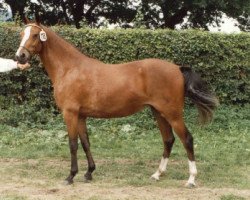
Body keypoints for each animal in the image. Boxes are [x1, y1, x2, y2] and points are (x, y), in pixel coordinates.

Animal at [15, 18, 219, 188]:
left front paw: (70, 176)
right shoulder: (81, 115)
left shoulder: (70, 113)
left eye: (35, 35)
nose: (20, 56)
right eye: (21, 34)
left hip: (173, 114)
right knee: (168, 140)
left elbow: (73, 144)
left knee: (187, 140)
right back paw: (157, 174)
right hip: (158, 112)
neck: (70, 69)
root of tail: (177, 68)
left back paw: (191, 179)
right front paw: (89, 173)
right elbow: (86, 143)